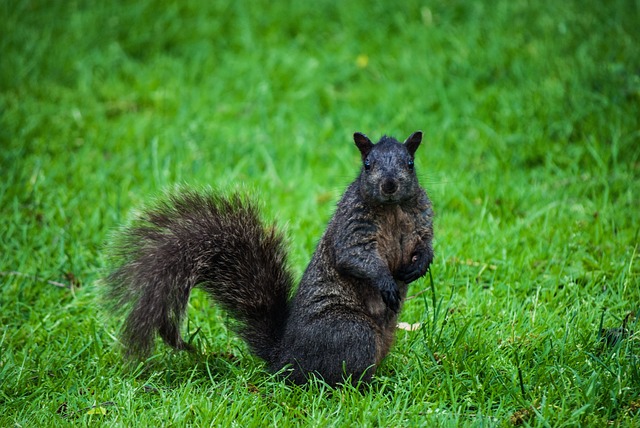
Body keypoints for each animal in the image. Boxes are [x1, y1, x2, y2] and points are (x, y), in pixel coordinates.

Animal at [106, 130, 436, 384]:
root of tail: (285, 359)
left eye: (410, 163)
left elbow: (426, 246)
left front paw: (418, 267)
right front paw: (386, 283)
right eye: (368, 164)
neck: (391, 209)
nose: (389, 185)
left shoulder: (422, 220)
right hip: (352, 332)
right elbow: (355, 256)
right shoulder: (351, 226)